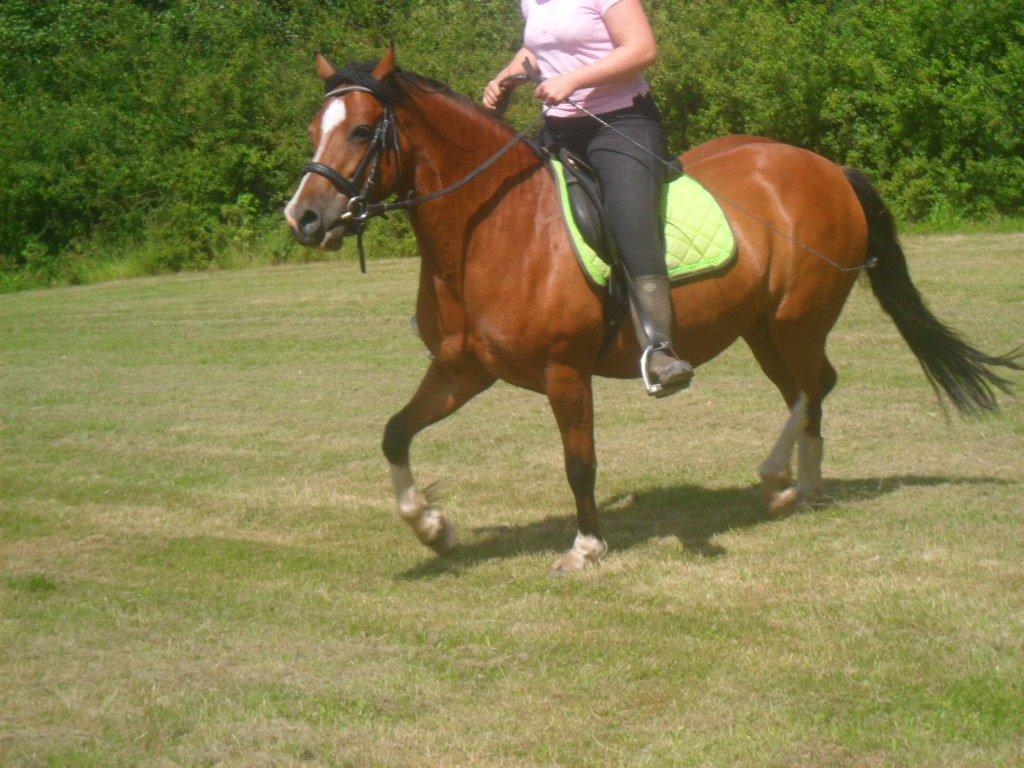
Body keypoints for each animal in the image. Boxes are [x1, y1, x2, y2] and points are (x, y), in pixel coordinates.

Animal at [284, 48, 1019, 573]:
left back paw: (781, 477)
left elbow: (579, 462)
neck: (493, 227)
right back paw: (797, 488)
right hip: (762, 329)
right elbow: (395, 433)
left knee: (815, 384)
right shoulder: (463, 369)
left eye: (361, 130)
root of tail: (829, 168)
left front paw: (585, 547)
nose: (304, 218)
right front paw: (432, 527)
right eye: (315, 128)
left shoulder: (564, 373)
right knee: (805, 390)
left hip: (796, 319)